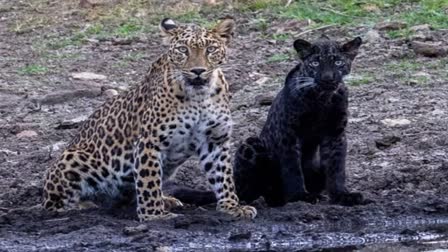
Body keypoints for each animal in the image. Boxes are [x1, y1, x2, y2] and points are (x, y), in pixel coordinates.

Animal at [172, 36, 368, 209]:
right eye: (315, 63)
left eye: (338, 62)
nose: (328, 77)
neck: (323, 99)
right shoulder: (288, 133)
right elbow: (292, 168)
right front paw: (300, 197)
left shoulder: (335, 134)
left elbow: (336, 167)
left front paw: (342, 196)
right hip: (251, 144)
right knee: (250, 193)